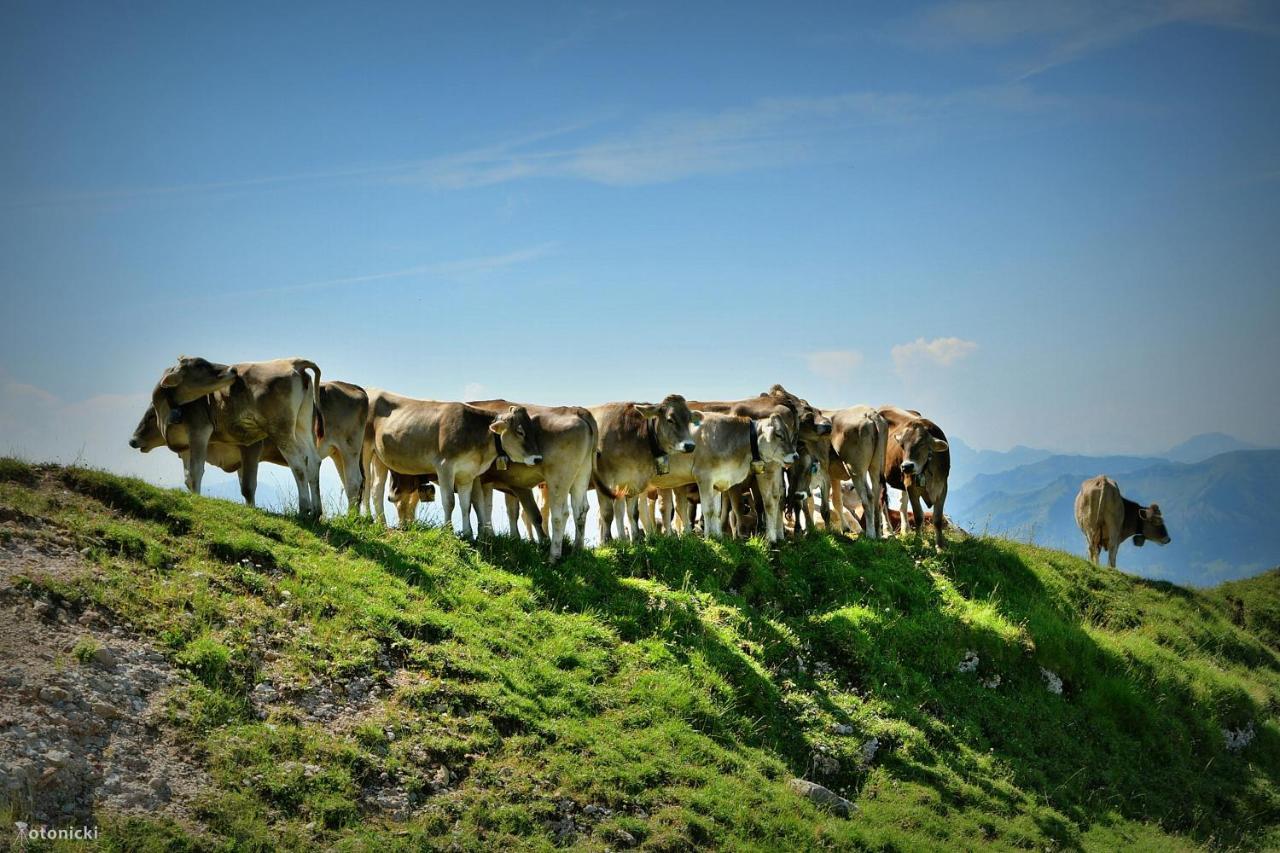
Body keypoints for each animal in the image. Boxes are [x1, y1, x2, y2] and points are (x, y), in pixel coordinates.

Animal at [131, 379, 371, 512]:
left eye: (151, 416)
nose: (133, 440)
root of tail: (354, 387)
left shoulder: (251, 448)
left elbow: (247, 486)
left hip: (349, 448)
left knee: (354, 482)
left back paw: (350, 518)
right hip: (337, 453)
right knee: (350, 483)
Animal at [145, 353, 327, 514]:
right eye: (200, 365)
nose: (233, 370)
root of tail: (292, 362)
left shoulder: (199, 430)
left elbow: (196, 471)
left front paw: (196, 498)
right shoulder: (185, 446)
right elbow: (188, 476)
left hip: (280, 429)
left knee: (298, 463)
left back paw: (304, 509)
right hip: (301, 426)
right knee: (313, 461)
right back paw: (316, 512)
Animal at [360, 386, 540, 535]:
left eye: (533, 430)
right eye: (520, 431)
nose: (538, 458)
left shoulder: (467, 474)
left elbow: (466, 504)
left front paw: (468, 534)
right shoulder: (445, 467)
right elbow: (449, 502)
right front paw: (448, 531)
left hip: (380, 458)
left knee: (377, 489)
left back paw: (382, 523)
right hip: (365, 450)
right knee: (366, 483)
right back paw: (368, 517)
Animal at [465, 397, 593, 560]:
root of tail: (576, 410)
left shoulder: (478, 477)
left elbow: (477, 505)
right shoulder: (503, 482)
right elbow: (501, 509)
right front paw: (508, 538)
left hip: (559, 478)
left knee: (560, 513)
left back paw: (553, 557)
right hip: (582, 473)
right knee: (580, 509)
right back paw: (577, 552)